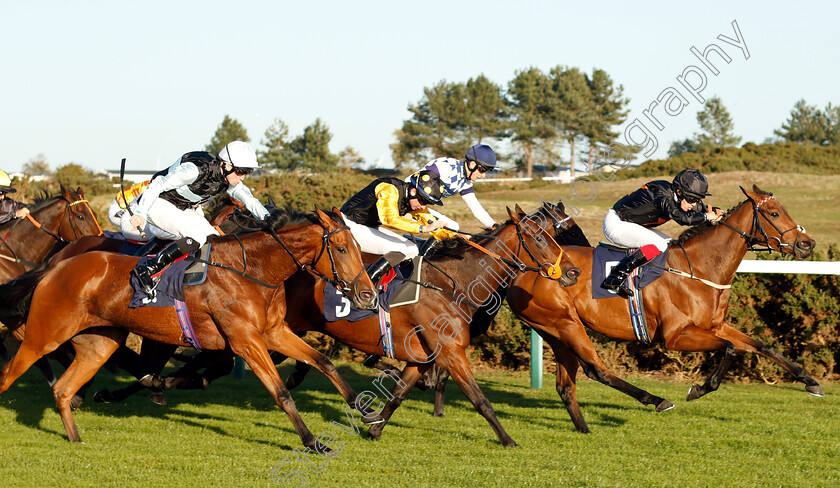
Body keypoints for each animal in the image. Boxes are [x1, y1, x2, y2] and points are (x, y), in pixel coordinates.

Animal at [0, 207, 378, 450]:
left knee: (64, 389)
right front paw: (312, 441)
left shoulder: (274, 333)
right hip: (43, 336)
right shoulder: (245, 341)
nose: (368, 294)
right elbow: (282, 393)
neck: (253, 270)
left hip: (99, 344)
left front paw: (368, 414)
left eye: (360, 248)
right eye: (341, 248)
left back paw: (77, 437)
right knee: (10, 374)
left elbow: (324, 363)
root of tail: (53, 266)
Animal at [498, 185, 820, 432]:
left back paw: (583, 427)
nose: (808, 244)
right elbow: (729, 349)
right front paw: (698, 389)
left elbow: (762, 346)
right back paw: (656, 400)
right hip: (565, 324)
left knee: (567, 384)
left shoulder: (715, 326)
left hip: (554, 331)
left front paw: (810, 381)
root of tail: (520, 272)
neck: (699, 267)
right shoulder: (676, 336)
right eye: (774, 213)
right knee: (596, 369)